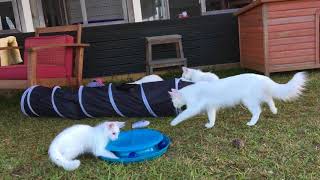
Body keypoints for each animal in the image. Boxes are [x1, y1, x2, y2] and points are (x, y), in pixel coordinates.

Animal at [169, 72, 306, 128]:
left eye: (173, 102)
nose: (174, 107)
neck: (190, 92)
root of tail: (262, 77)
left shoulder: (193, 108)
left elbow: (182, 115)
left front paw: (173, 122)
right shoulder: (210, 107)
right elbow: (212, 117)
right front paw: (210, 125)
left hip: (248, 100)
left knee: (258, 111)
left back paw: (252, 123)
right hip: (258, 96)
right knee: (270, 99)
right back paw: (274, 111)